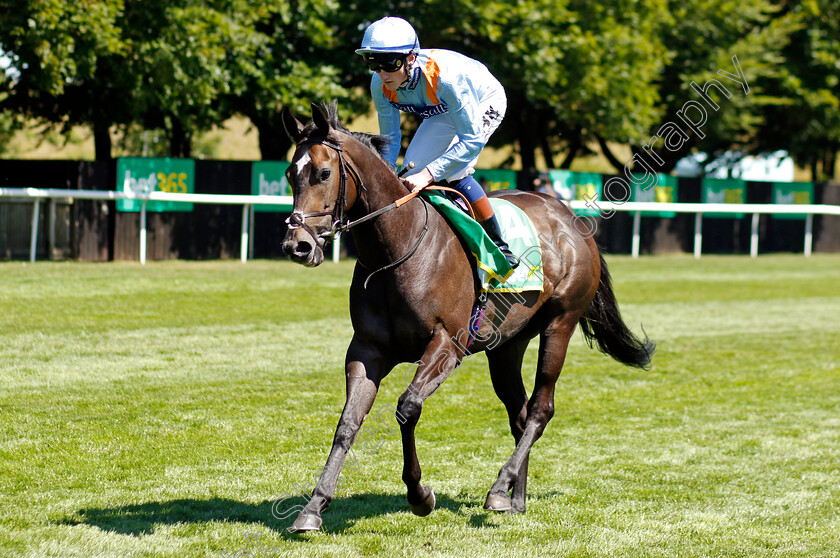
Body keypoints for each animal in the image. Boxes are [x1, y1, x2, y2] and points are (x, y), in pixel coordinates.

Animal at [278, 101, 652, 532]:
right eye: (289, 174)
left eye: (323, 173)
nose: (297, 245)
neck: (397, 250)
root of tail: (568, 216)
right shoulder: (367, 350)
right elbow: (347, 423)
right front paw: (313, 507)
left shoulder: (446, 345)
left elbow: (407, 408)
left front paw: (419, 495)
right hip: (506, 345)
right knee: (520, 414)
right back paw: (514, 499)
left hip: (561, 322)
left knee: (541, 409)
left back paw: (499, 487)